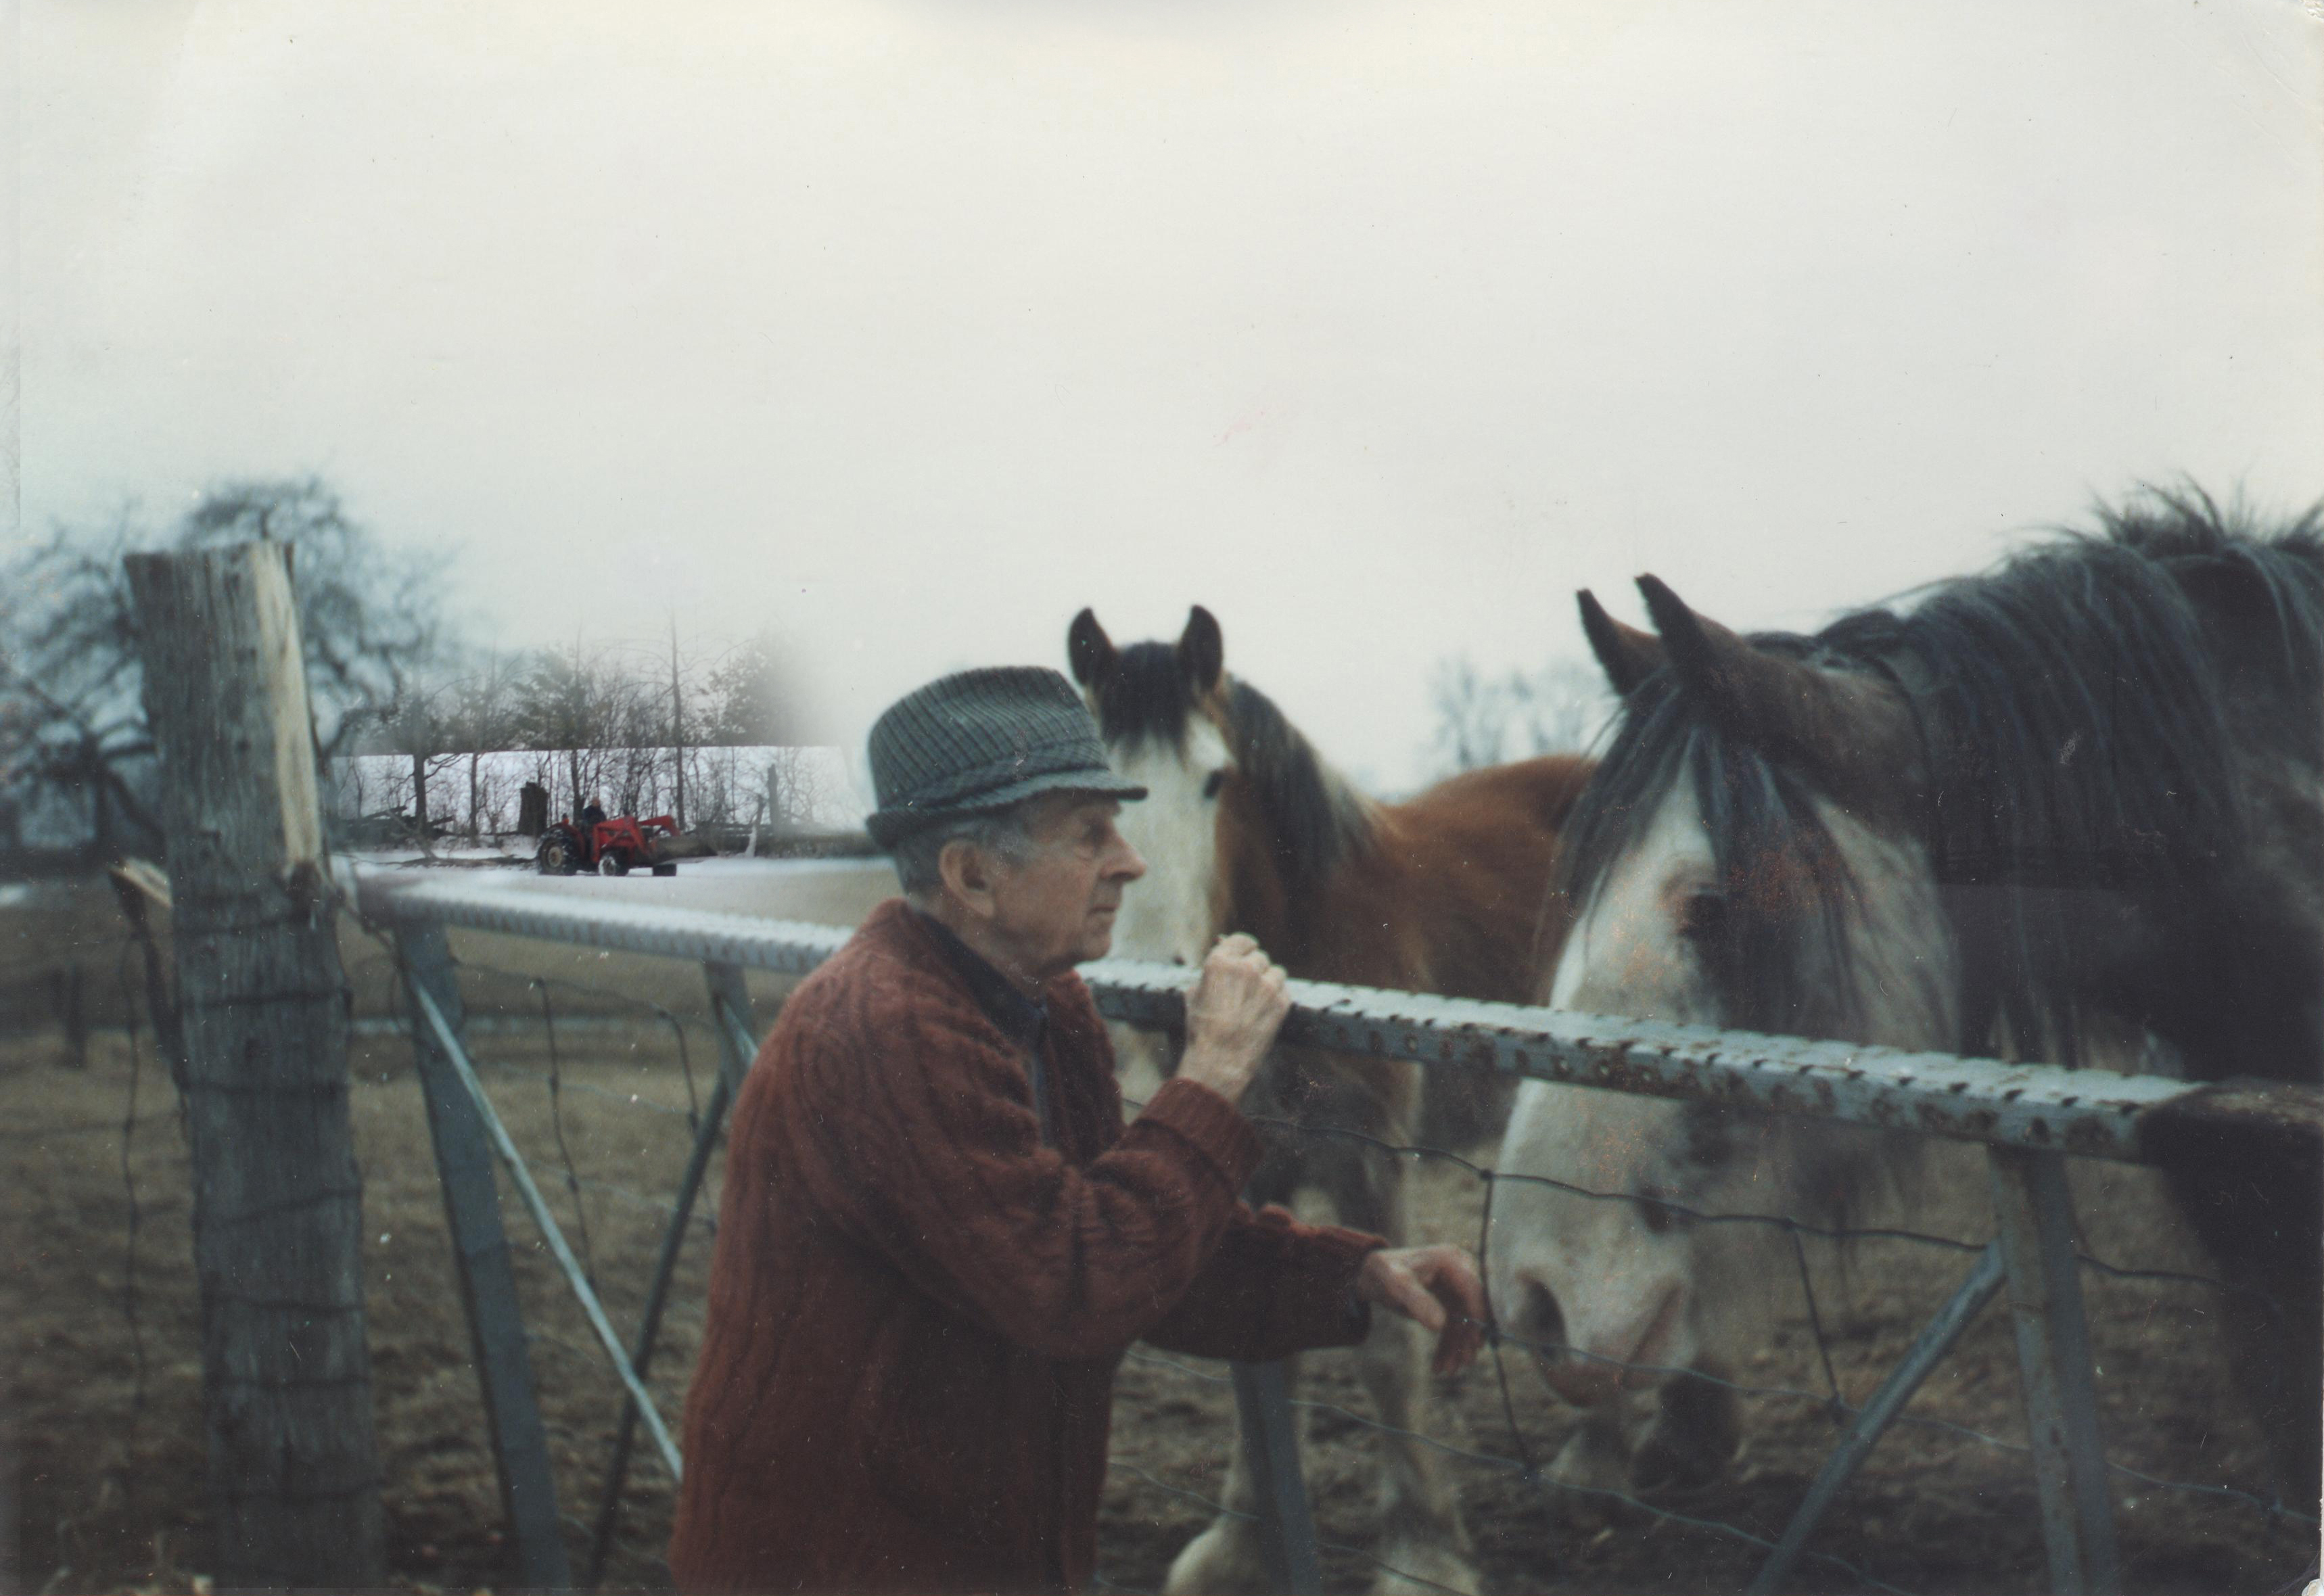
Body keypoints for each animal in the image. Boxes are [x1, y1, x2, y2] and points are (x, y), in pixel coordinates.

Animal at [1073, 604, 1598, 1589]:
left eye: (1214, 782)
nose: (1145, 982)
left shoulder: (1367, 1164)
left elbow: (1390, 1351)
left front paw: (1422, 1549)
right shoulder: (1245, 1174)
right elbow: (1257, 1353)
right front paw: (1240, 1540)